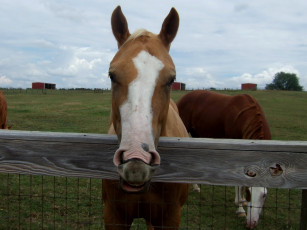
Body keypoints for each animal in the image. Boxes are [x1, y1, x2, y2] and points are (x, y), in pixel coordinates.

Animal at [177, 90, 270, 228]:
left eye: (264, 195)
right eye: (249, 192)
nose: (251, 223)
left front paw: (242, 202)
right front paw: (240, 209)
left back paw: (196, 186)